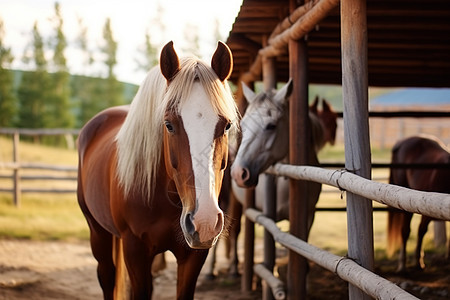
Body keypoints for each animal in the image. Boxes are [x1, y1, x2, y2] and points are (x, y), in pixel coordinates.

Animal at [77, 41, 239, 298]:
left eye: (227, 126)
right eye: (169, 125)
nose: (204, 221)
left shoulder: (193, 256)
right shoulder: (135, 250)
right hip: (97, 230)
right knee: (107, 276)